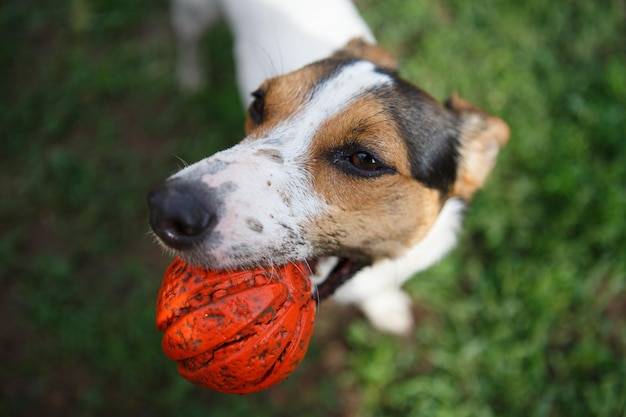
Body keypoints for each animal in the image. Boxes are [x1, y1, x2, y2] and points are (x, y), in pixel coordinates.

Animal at [151, 0, 508, 334]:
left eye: (365, 159)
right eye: (257, 103)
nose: (166, 208)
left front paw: (386, 309)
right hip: (194, 14)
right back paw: (190, 76)